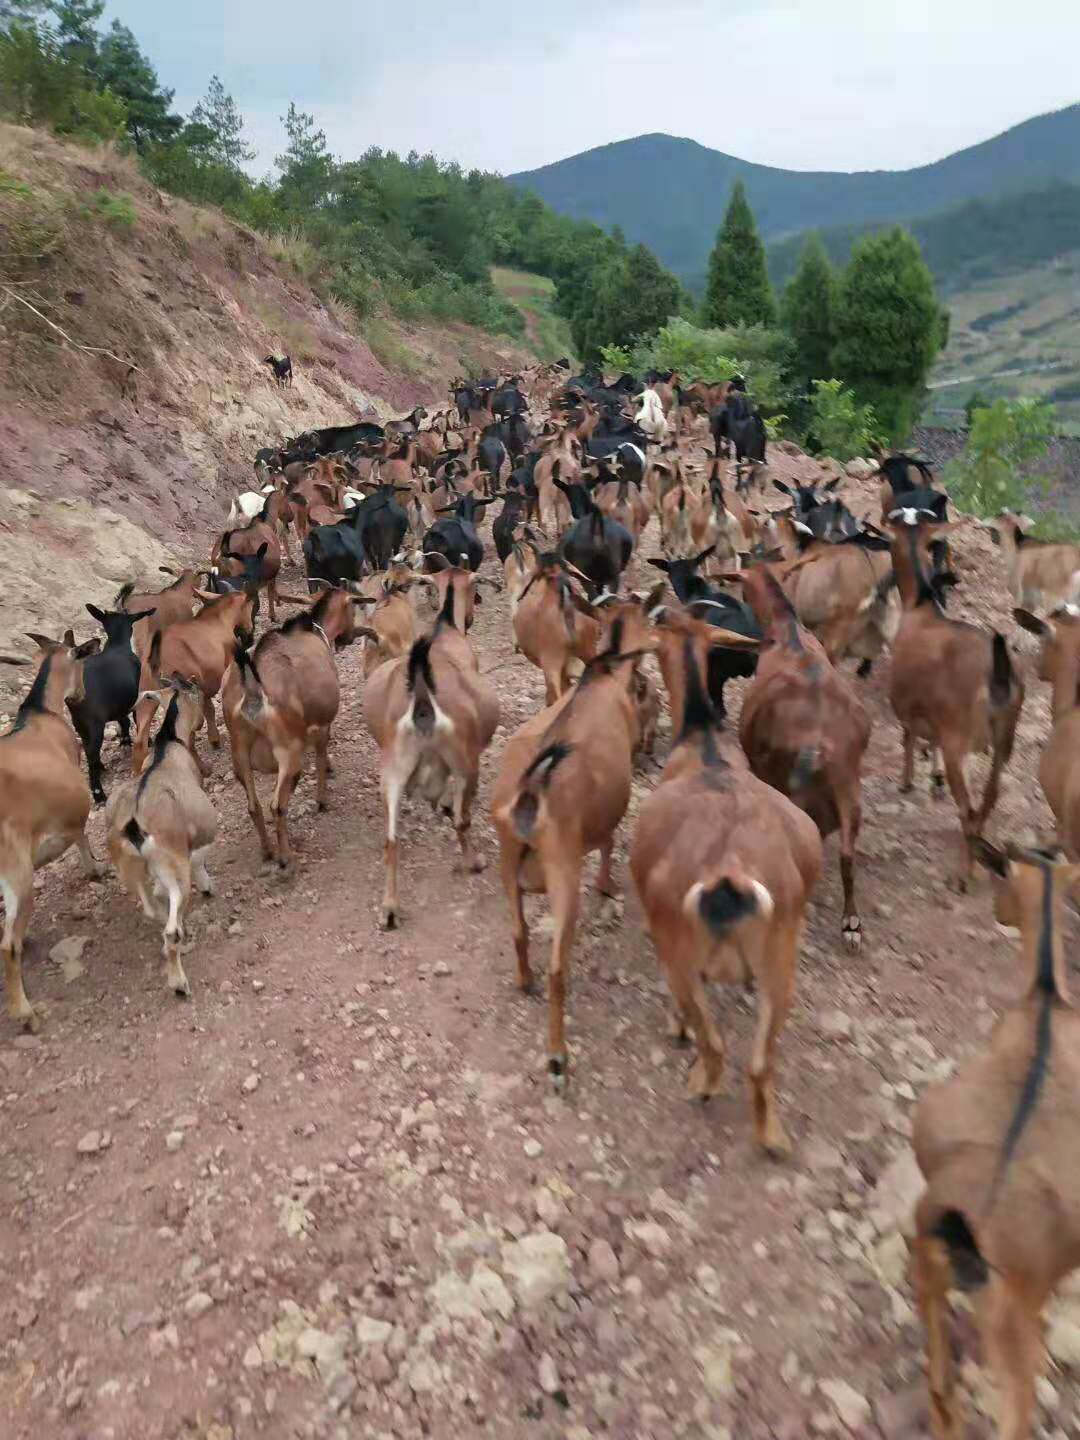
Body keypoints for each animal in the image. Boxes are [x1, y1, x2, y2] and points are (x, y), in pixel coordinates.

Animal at [630, 613, 823, 1152]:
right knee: (760, 1063)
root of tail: (729, 872)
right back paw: (772, 1135)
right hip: (781, 962)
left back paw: (701, 1082)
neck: (706, 746)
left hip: (680, 951)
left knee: (712, 1042)